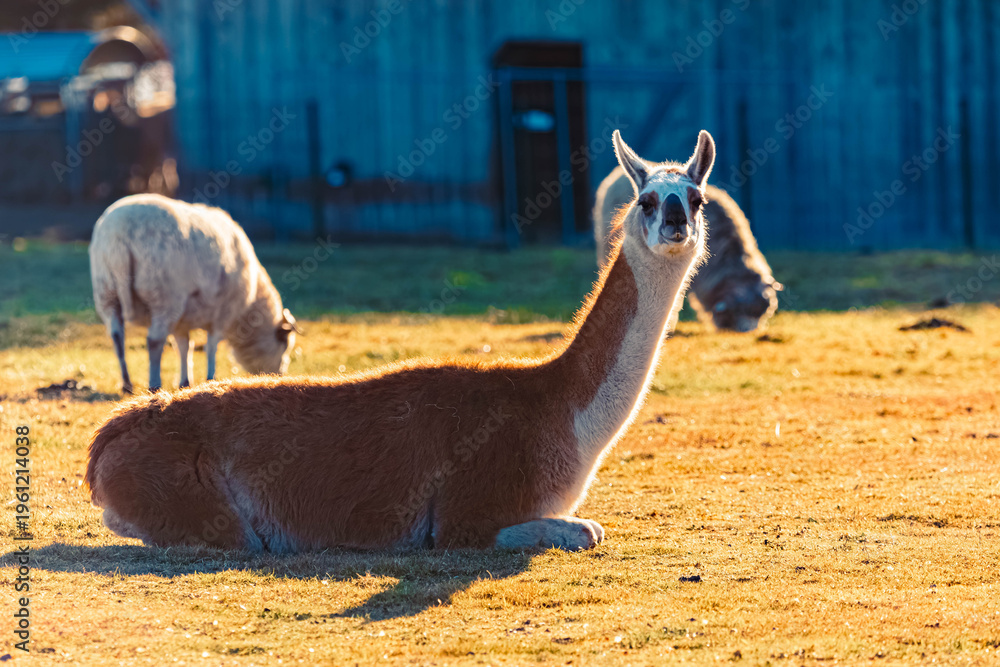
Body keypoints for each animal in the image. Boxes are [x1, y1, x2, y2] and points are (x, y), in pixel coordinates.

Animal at [89, 194, 299, 394]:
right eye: (285, 344)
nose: (280, 376)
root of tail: (120, 234)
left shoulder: (182, 320)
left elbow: (184, 346)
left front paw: (185, 382)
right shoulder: (223, 313)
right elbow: (211, 345)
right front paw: (210, 378)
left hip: (107, 292)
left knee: (117, 336)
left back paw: (127, 384)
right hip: (164, 295)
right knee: (154, 341)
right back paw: (154, 384)